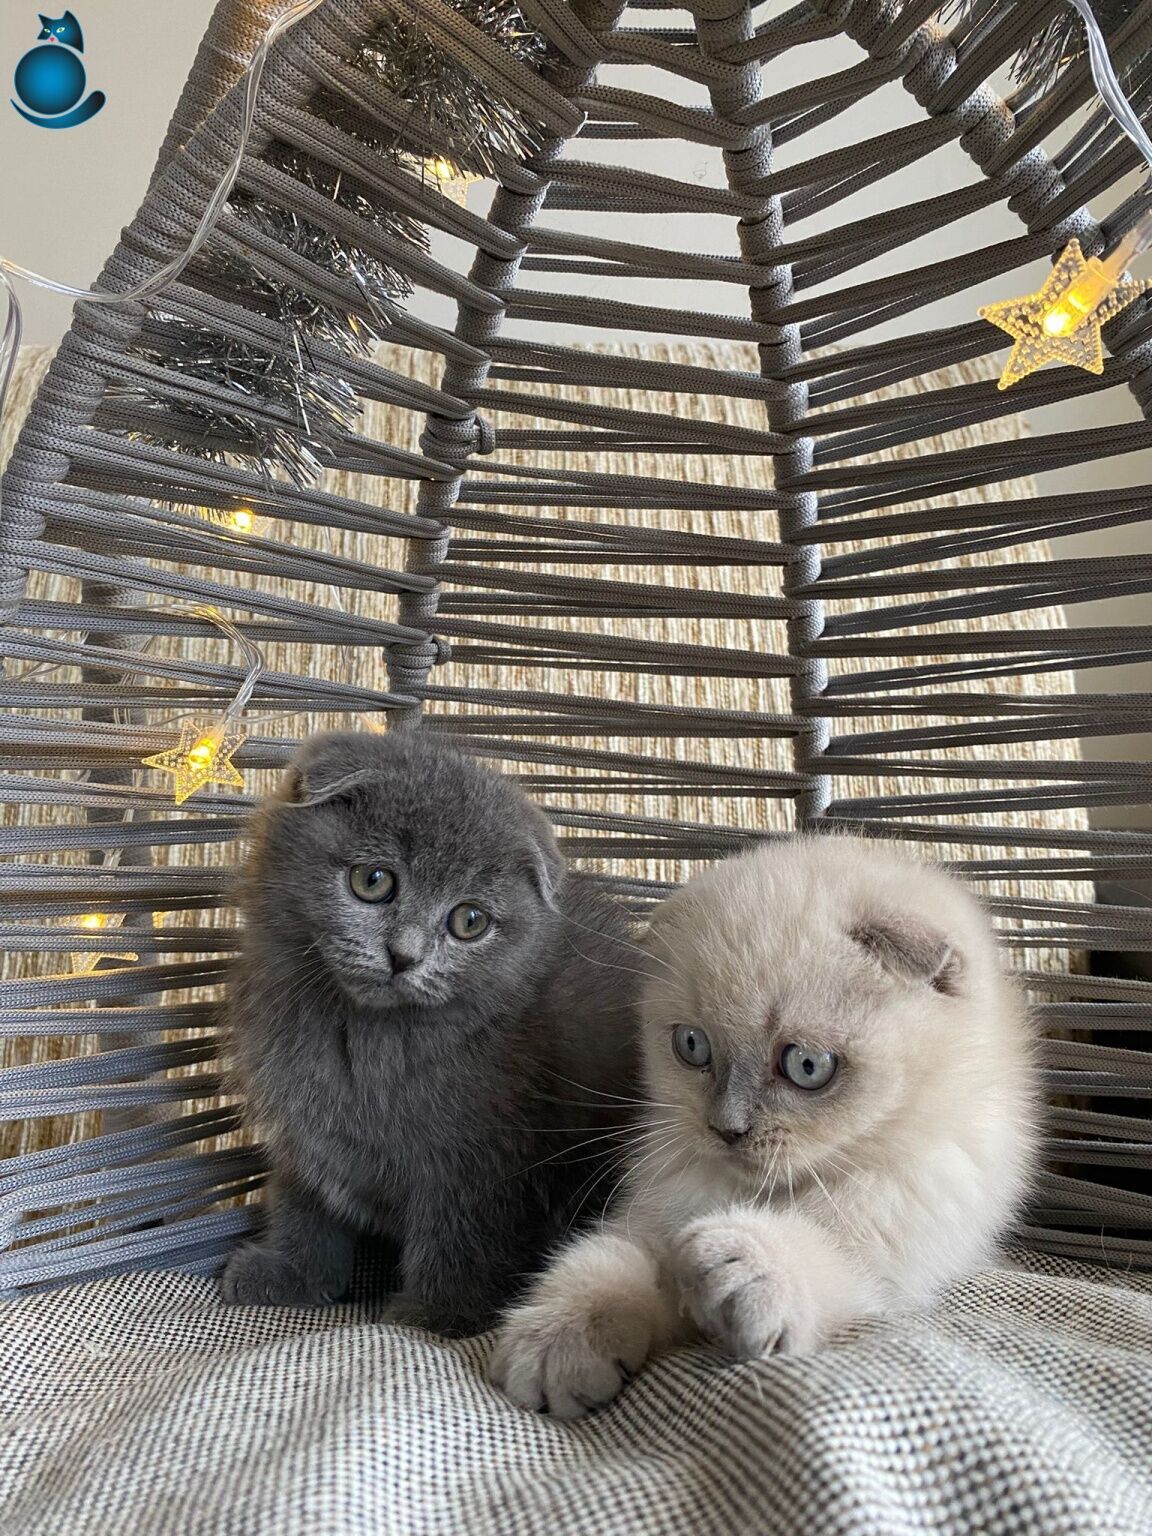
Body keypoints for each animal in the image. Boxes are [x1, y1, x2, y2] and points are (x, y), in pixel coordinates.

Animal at [220, 729, 639, 1334]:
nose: (403, 956)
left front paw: (433, 1316)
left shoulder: (479, 1160)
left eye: (469, 921)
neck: (359, 1035)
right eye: (373, 882)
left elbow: (460, 1233)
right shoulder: (302, 1130)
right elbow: (303, 1200)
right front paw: (292, 1273)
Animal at [490, 835, 1037, 1416]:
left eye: (807, 1066)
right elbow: (608, 1263)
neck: (767, 1192)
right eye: (692, 1046)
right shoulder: (654, 1217)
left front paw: (741, 1266)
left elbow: (813, 1247)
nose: (727, 1129)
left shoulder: (884, 1234)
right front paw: (559, 1338)